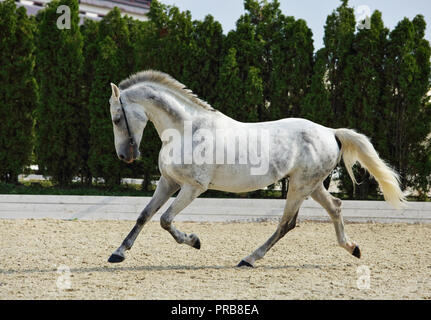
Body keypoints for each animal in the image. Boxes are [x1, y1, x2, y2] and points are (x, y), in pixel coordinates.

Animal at [106, 70, 406, 268]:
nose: (124, 156)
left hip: (299, 187)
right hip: (310, 185)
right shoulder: (167, 182)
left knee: (287, 223)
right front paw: (118, 253)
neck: (187, 130)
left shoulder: (193, 187)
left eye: (117, 118)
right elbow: (144, 216)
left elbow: (165, 220)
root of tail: (331, 132)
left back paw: (249, 259)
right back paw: (352, 248)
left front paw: (194, 241)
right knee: (335, 207)